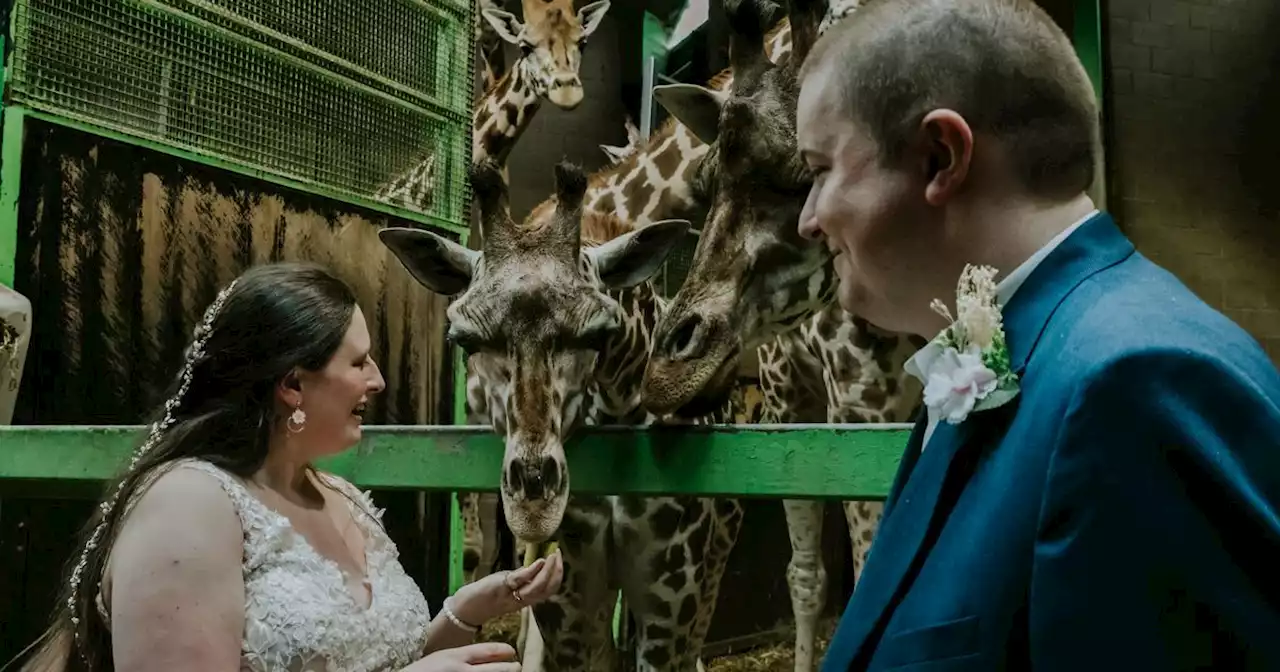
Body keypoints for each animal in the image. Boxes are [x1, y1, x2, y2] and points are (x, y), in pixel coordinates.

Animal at [373, 160, 747, 665]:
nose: (534, 504)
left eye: (598, 333)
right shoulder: (568, 603)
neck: (617, 411)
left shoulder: (670, 597)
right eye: (463, 339)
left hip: (712, 565)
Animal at [640, 0, 931, 665]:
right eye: (705, 183)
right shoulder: (861, 411)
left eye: (805, 177)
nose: (666, 375)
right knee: (804, 575)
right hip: (788, 401)